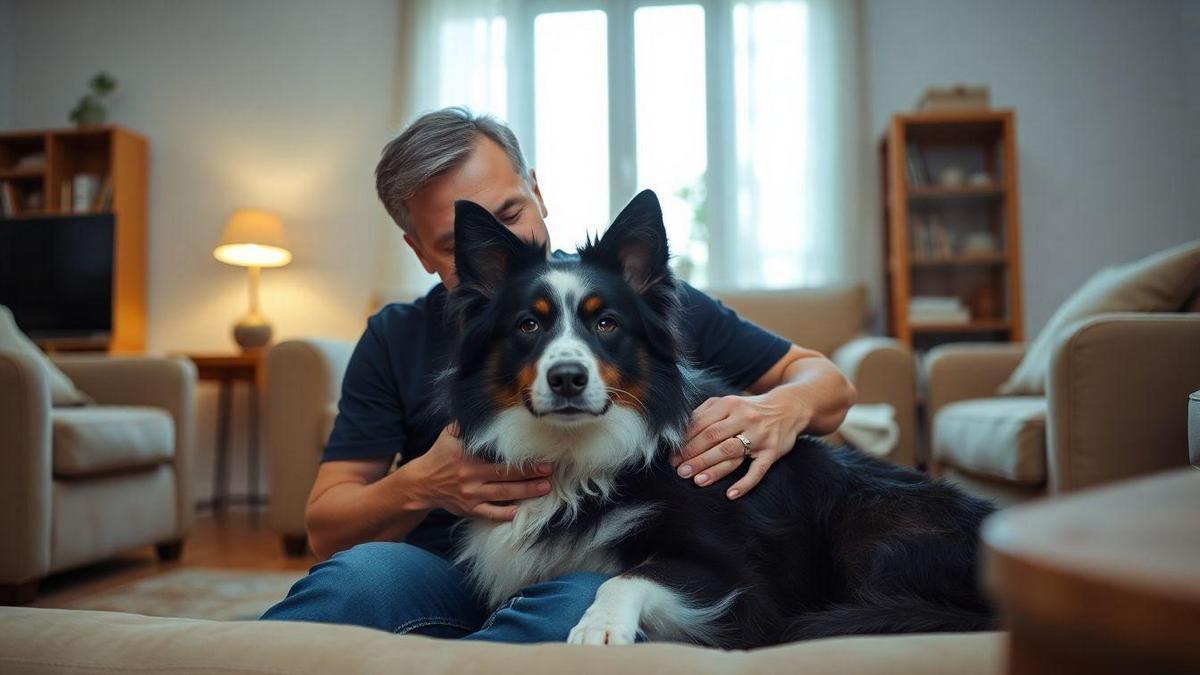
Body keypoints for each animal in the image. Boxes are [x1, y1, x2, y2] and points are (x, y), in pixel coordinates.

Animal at [441, 186, 993, 643]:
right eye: (528, 325)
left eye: (606, 323)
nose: (568, 378)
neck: (575, 452)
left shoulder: (735, 575)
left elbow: (625, 577)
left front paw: (599, 628)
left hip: (873, 526)